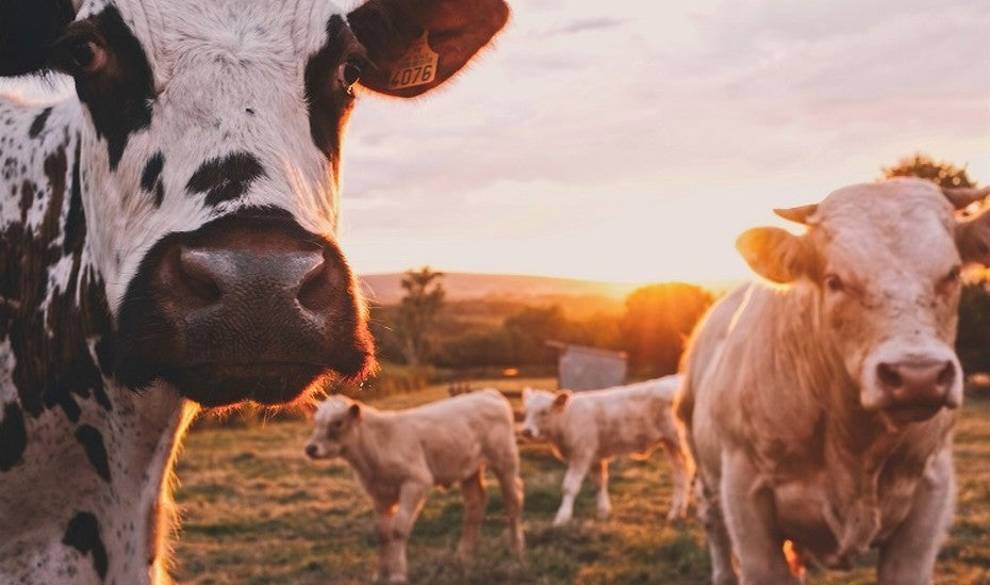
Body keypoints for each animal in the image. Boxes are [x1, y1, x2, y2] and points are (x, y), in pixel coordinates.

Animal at [306, 388, 528, 584]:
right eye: (316, 422)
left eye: (337, 423)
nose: (310, 448)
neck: (376, 445)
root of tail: (488, 393)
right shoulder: (379, 494)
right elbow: (382, 532)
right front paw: (380, 573)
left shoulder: (416, 482)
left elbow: (398, 529)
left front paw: (397, 575)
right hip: (469, 469)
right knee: (475, 504)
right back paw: (464, 554)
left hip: (505, 459)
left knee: (513, 498)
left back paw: (516, 548)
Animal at [520, 374, 688, 524]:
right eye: (526, 411)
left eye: (544, 412)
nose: (526, 431)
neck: (567, 419)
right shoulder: (595, 457)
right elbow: (599, 483)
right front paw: (603, 511)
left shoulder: (582, 454)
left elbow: (569, 487)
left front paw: (562, 517)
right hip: (670, 444)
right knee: (681, 474)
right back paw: (676, 513)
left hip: (680, 441)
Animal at [680, 177, 990, 584]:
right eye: (834, 280)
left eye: (952, 273)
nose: (917, 376)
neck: (855, 444)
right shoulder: (745, 498)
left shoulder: (930, 495)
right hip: (705, 474)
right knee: (715, 530)